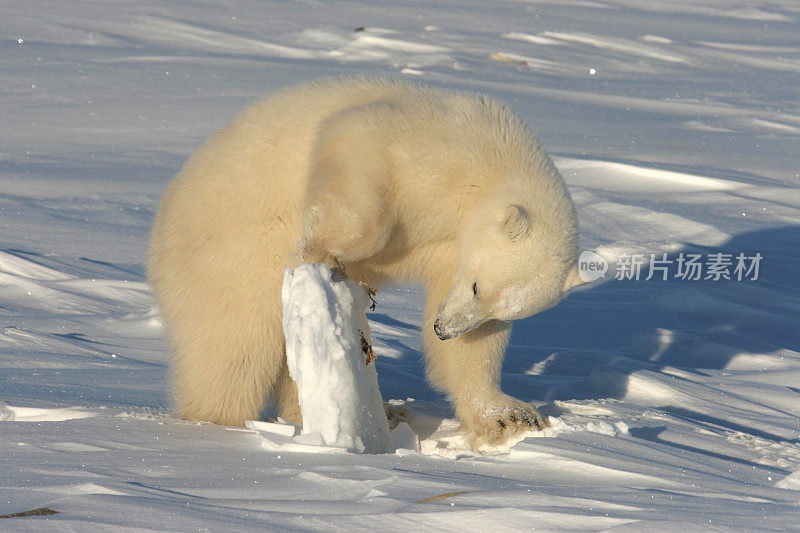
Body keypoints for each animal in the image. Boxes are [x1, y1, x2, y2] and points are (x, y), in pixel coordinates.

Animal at [148, 77, 580, 446]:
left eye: (497, 309)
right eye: (477, 285)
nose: (442, 329)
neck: (493, 163)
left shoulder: (451, 248)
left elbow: (472, 346)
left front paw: (509, 416)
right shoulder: (425, 148)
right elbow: (356, 147)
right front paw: (324, 252)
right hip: (231, 251)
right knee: (235, 347)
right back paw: (219, 422)